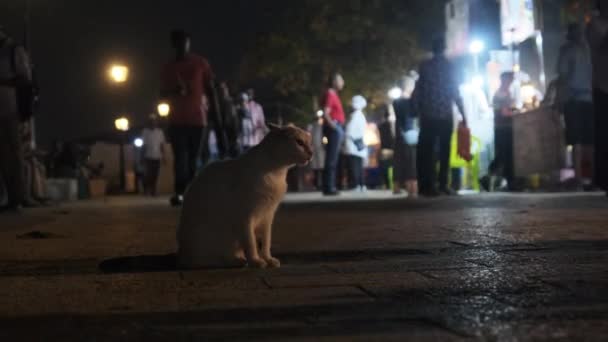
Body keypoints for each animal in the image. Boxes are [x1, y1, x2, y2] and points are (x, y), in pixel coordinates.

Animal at [175, 123, 308, 270]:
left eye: (310, 142)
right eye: (299, 142)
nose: (311, 153)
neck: (277, 172)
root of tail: (181, 254)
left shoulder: (267, 216)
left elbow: (266, 243)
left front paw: (268, 259)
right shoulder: (245, 217)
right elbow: (251, 243)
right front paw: (256, 261)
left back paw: (240, 259)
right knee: (209, 260)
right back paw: (237, 261)